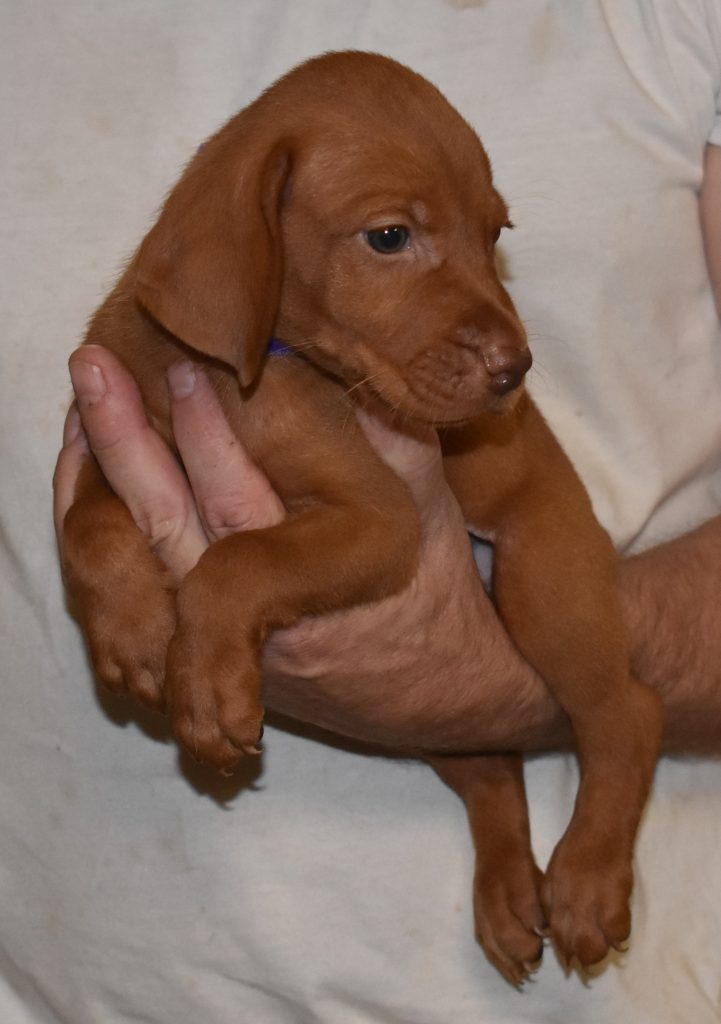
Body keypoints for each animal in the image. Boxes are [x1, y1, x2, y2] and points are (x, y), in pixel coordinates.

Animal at [60, 51, 664, 984]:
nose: (515, 370)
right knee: (491, 763)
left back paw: (586, 881)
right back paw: (507, 895)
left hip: (546, 583)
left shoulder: (380, 521)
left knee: (626, 715)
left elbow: (234, 563)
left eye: (494, 232)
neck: (245, 371)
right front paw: (130, 632)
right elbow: (87, 527)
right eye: (389, 238)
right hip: (450, 708)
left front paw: (207, 688)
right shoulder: (106, 429)